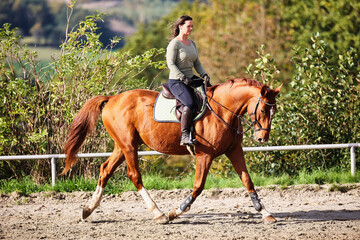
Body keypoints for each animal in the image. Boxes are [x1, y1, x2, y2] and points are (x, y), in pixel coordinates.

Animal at [61, 77, 282, 223]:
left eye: (275, 111)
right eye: (263, 110)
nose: (262, 138)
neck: (223, 110)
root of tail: (113, 98)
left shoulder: (234, 151)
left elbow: (248, 181)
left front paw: (265, 212)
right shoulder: (205, 155)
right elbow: (198, 186)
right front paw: (176, 211)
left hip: (122, 146)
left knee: (105, 170)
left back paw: (88, 209)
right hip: (129, 146)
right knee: (134, 175)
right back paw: (158, 213)